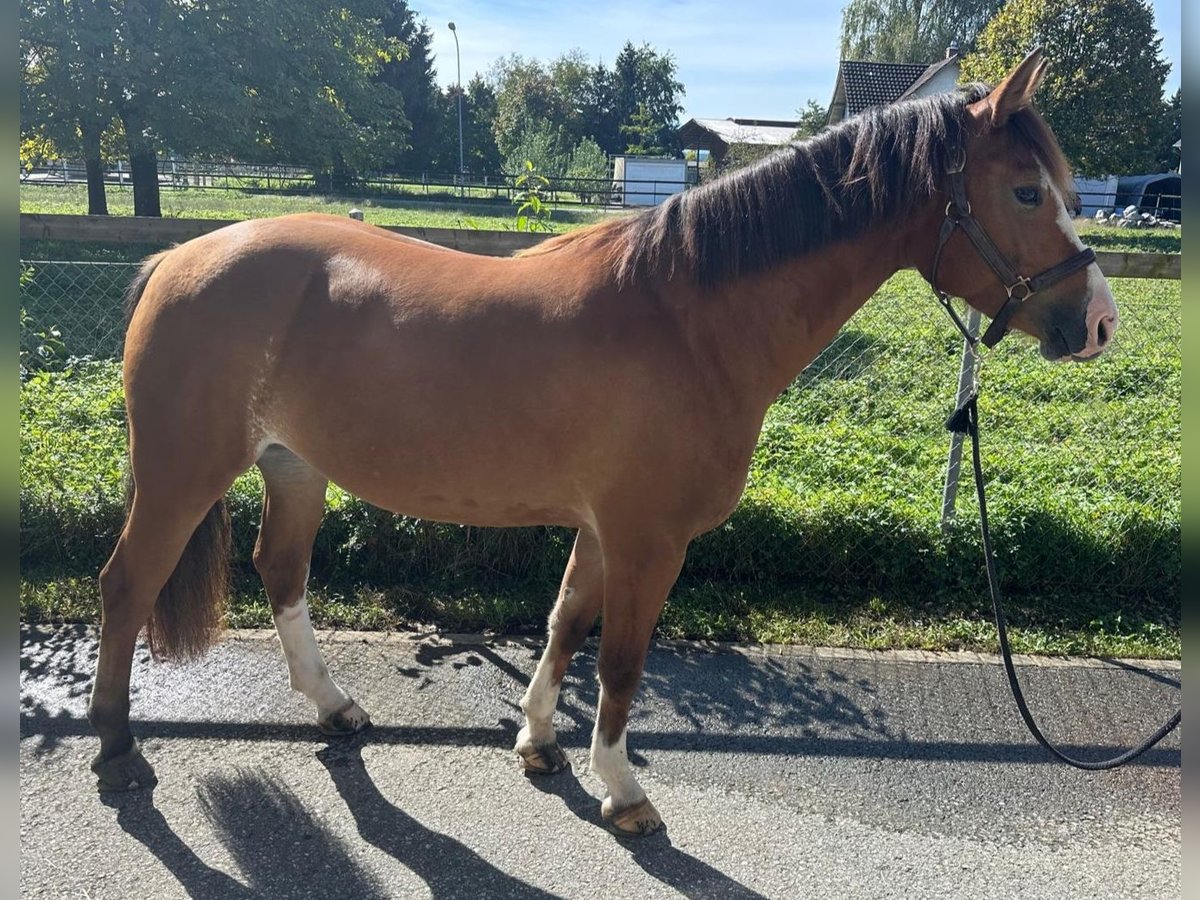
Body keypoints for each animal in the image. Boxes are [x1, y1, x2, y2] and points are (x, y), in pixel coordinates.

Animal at [91, 51, 1113, 840]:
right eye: (1027, 192)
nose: (1099, 322)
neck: (687, 321)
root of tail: (176, 260)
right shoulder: (648, 542)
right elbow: (620, 662)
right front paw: (622, 792)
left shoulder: (598, 529)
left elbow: (562, 624)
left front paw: (540, 743)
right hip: (184, 474)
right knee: (128, 584)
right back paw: (117, 750)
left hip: (295, 468)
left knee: (282, 571)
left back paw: (334, 707)